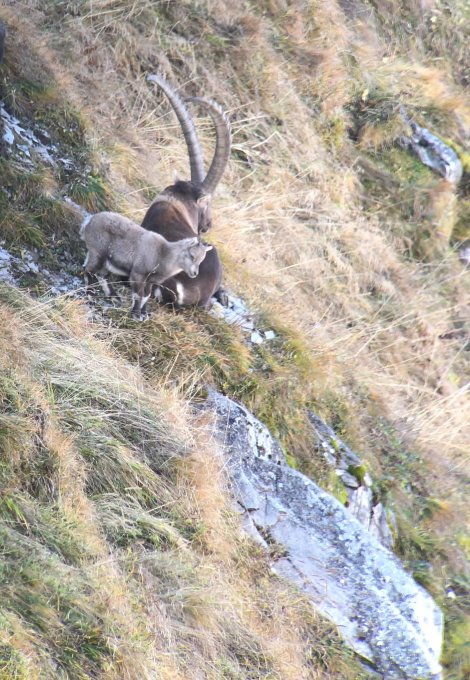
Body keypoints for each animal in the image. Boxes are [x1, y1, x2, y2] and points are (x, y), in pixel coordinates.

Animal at [81, 211, 211, 320]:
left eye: (201, 260)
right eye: (192, 256)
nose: (194, 273)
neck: (162, 254)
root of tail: (89, 221)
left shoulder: (151, 281)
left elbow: (146, 296)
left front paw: (144, 314)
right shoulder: (138, 274)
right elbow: (139, 295)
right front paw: (136, 315)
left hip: (106, 261)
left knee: (100, 274)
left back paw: (114, 297)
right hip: (98, 253)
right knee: (89, 271)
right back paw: (90, 295)